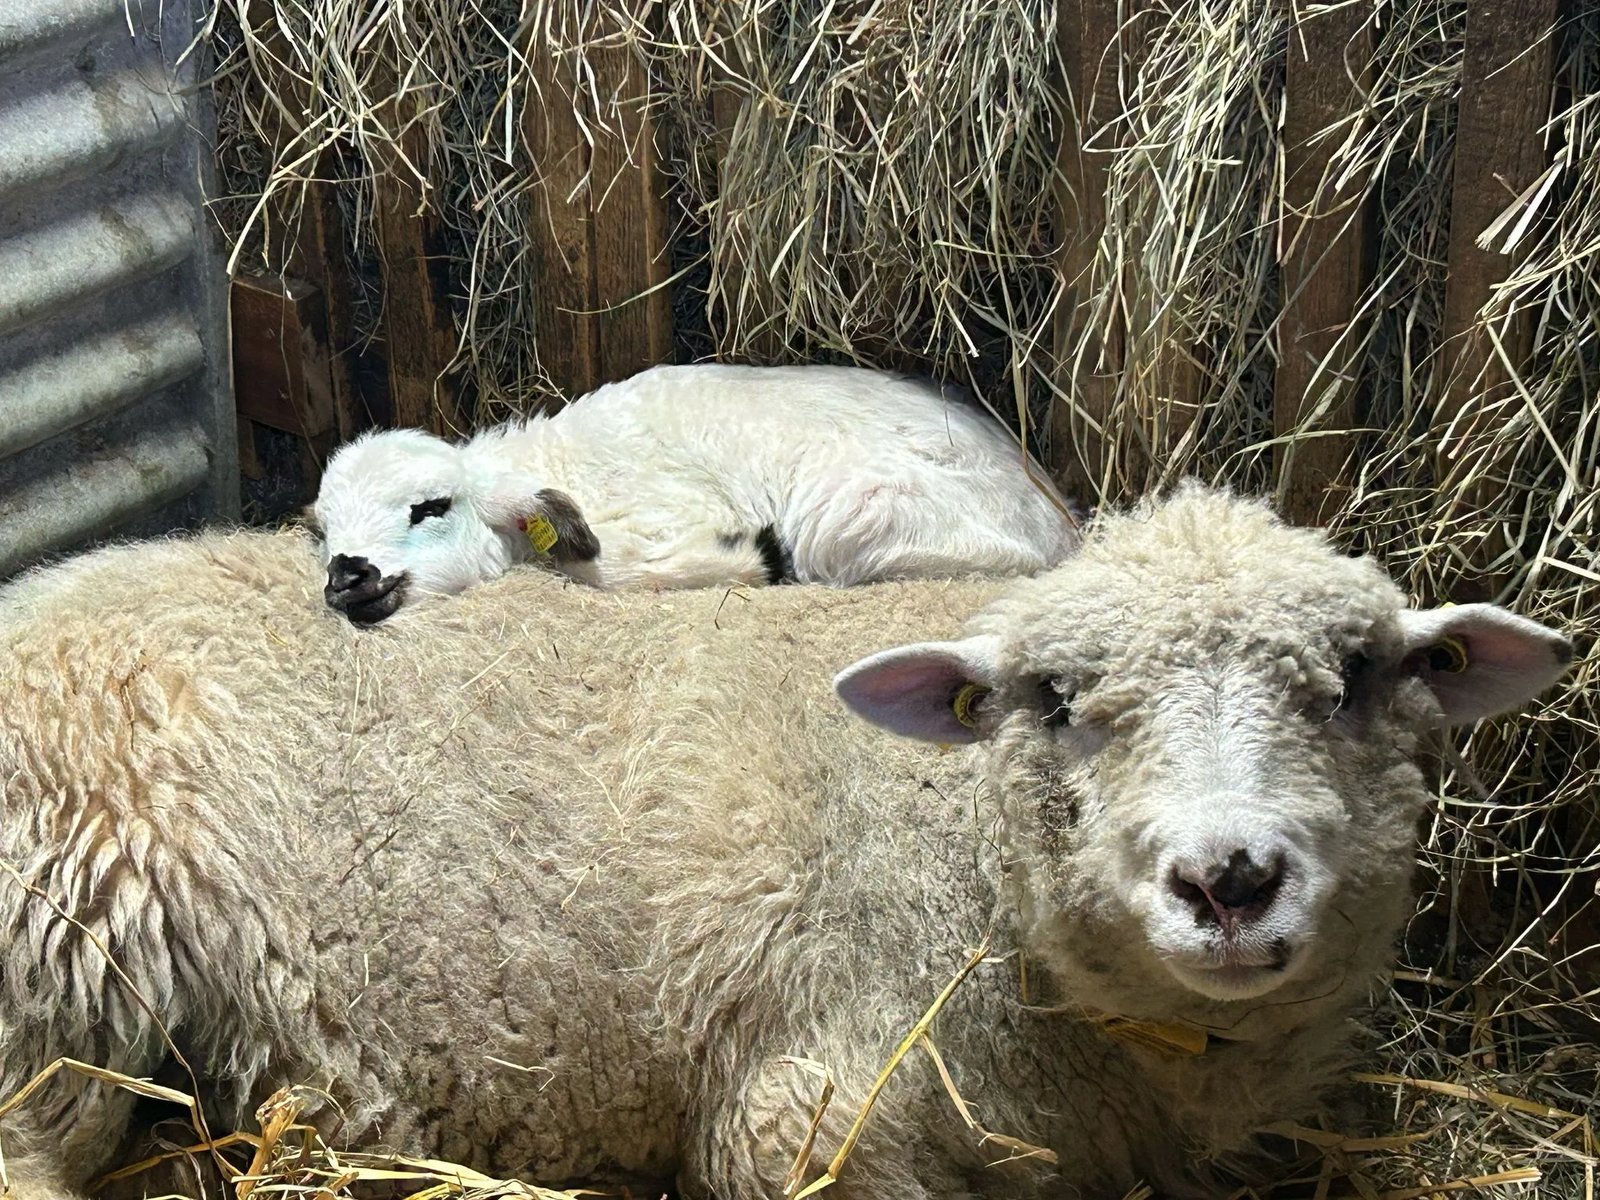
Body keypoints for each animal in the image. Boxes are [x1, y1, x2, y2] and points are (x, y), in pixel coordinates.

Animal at [310, 362, 1078, 623]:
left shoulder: (665, 514)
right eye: (322, 534)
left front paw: (751, 559)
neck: (559, 460)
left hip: (851, 517)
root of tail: (1058, 518)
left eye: (431, 507)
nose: (349, 577)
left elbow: (611, 571)